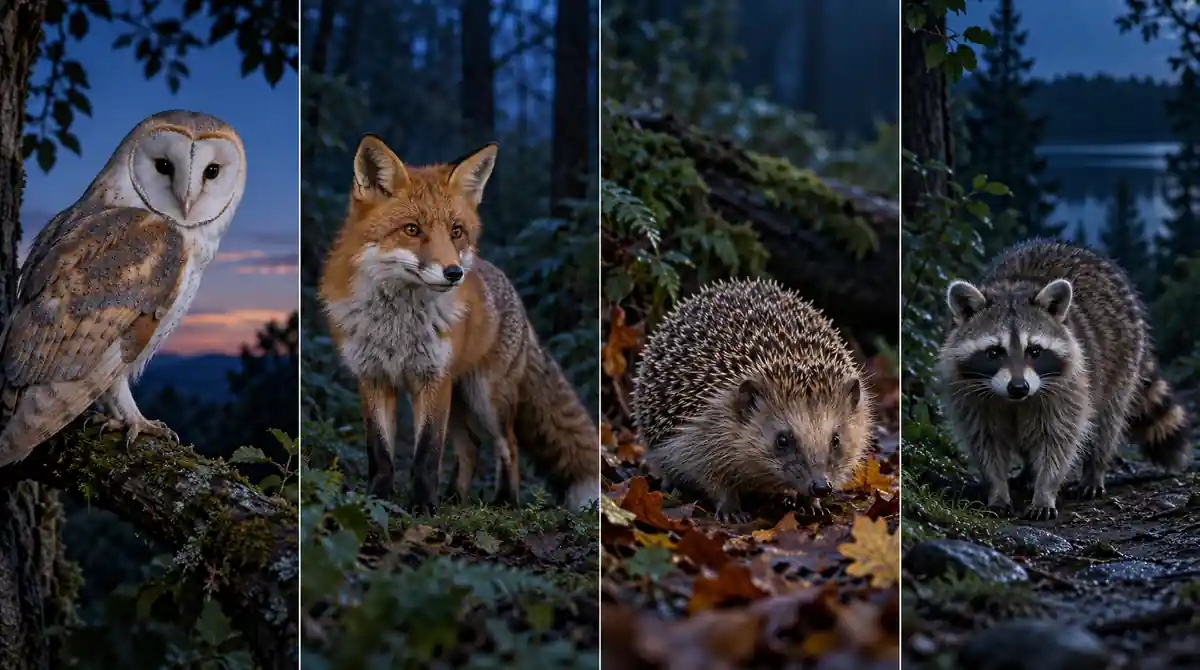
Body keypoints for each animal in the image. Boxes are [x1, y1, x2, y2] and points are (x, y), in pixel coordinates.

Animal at [318, 135, 599, 512]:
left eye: (456, 231)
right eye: (412, 230)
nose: (454, 273)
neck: (397, 326)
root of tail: (510, 289)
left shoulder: (433, 380)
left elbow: (426, 456)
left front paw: (422, 508)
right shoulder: (374, 379)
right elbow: (380, 454)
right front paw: (378, 501)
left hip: (486, 398)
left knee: (507, 444)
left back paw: (504, 501)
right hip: (459, 399)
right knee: (472, 449)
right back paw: (455, 498)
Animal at [938, 240, 1191, 520]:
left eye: (1034, 351)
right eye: (994, 352)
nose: (1019, 387)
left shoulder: (1070, 386)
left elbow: (1058, 439)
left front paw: (1045, 490)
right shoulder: (969, 394)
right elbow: (986, 441)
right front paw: (998, 489)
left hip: (1123, 362)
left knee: (1107, 421)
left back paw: (1094, 469)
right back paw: (1028, 472)